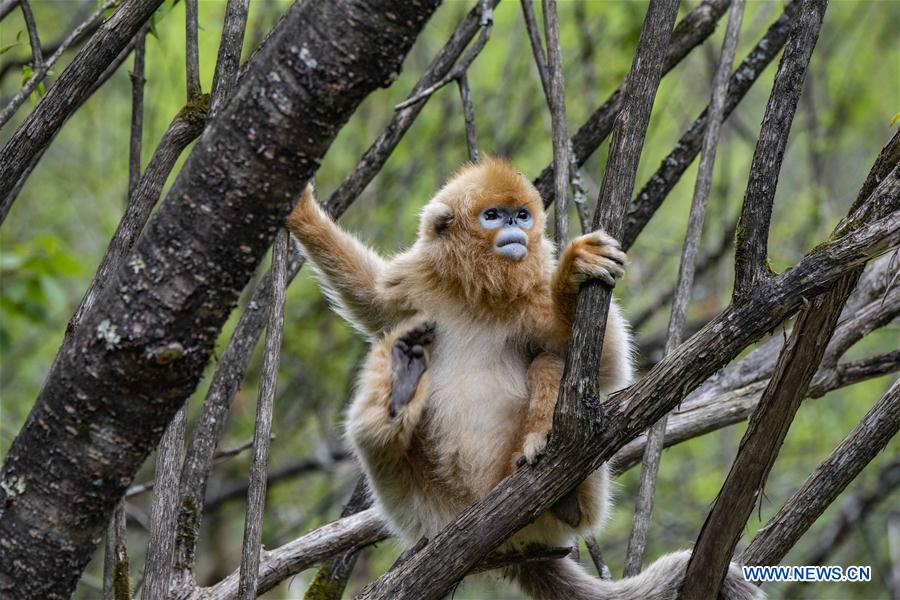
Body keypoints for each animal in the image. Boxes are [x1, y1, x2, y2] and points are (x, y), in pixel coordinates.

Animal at [286, 157, 760, 596]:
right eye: (493, 215)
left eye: (522, 215)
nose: (514, 227)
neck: (479, 294)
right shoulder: (417, 281)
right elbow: (371, 296)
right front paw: (299, 209)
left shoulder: (534, 288)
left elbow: (608, 364)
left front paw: (573, 274)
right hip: (422, 508)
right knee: (373, 439)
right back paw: (397, 394)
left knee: (548, 363)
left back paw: (553, 471)